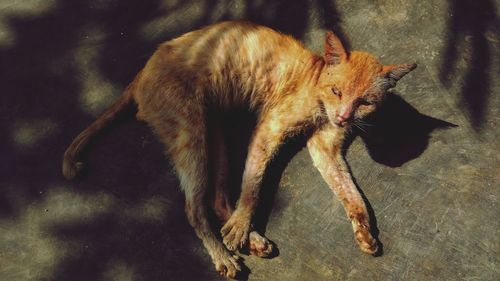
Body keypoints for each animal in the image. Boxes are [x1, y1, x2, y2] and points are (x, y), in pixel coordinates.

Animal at [61, 21, 414, 278]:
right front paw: (242, 224)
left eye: (364, 102)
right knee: (194, 206)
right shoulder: (268, 129)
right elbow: (253, 184)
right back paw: (225, 254)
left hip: (214, 135)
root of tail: (143, 70)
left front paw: (365, 233)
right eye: (337, 91)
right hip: (192, 135)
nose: (343, 117)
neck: (317, 96)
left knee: (217, 199)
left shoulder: (325, 149)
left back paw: (251, 240)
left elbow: (352, 194)